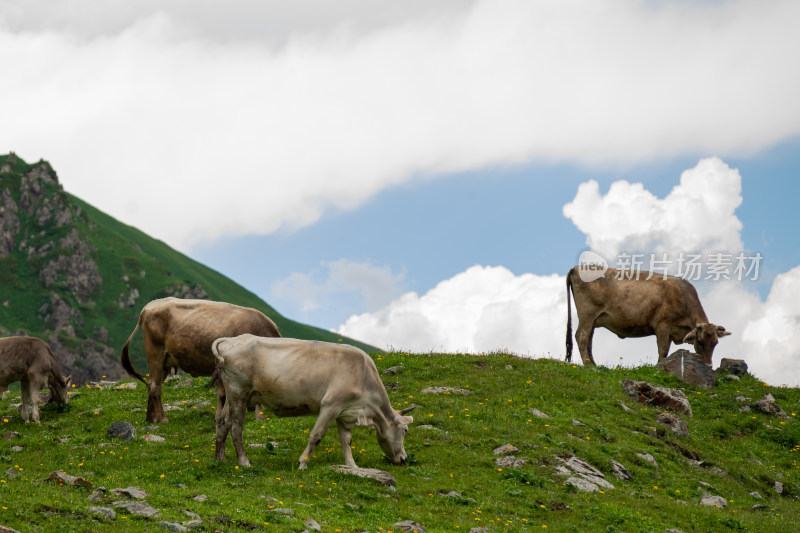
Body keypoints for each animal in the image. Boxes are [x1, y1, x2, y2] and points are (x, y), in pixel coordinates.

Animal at [119, 298, 282, 422]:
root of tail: (149, 306)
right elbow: (224, 394)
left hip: (165, 361)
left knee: (151, 384)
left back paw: (151, 419)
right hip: (155, 353)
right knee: (154, 386)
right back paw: (162, 418)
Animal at [209, 334, 416, 468]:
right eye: (405, 430)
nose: (404, 458)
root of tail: (231, 339)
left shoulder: (344, 411)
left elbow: (346, 440)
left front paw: (352, 466)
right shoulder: (331, 405)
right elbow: (316, 436)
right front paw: (303, 463)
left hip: (235, 394)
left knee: (223, 421)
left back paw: (220, 459)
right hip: (238, 391)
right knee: (236, 426)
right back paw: (244, 462)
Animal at [564, 266, 732, 366]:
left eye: (715, 343)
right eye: (701, 342)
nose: (709, 365)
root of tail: (577, 268)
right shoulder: (663, 325)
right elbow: (662, 350)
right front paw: (660, 366)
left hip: (592, 319)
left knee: (588, 340)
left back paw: (593, 363)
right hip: (587, 314)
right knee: (581, 336)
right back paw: (589, 365)